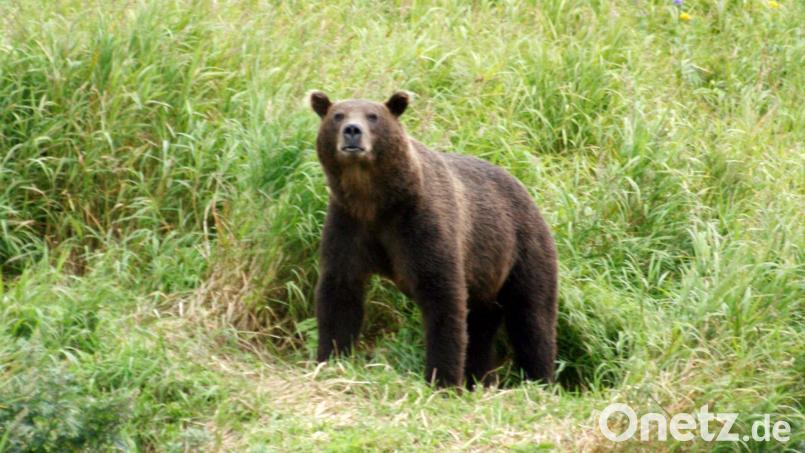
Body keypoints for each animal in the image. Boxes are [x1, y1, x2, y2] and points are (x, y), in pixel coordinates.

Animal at [309, 90, 558, 388]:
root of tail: (528, 193)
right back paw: (479, 377)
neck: (375, 201)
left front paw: (443, 378)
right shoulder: (348, 225)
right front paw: (330, 358)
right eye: (338, 115)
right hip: (487, 277)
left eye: (373, 116)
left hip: (522, 250)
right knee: (482, 326)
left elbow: (443, 297)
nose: (352, 131)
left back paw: (540, 379)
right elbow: (340, 292)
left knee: (532, 318)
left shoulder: (421, 224)